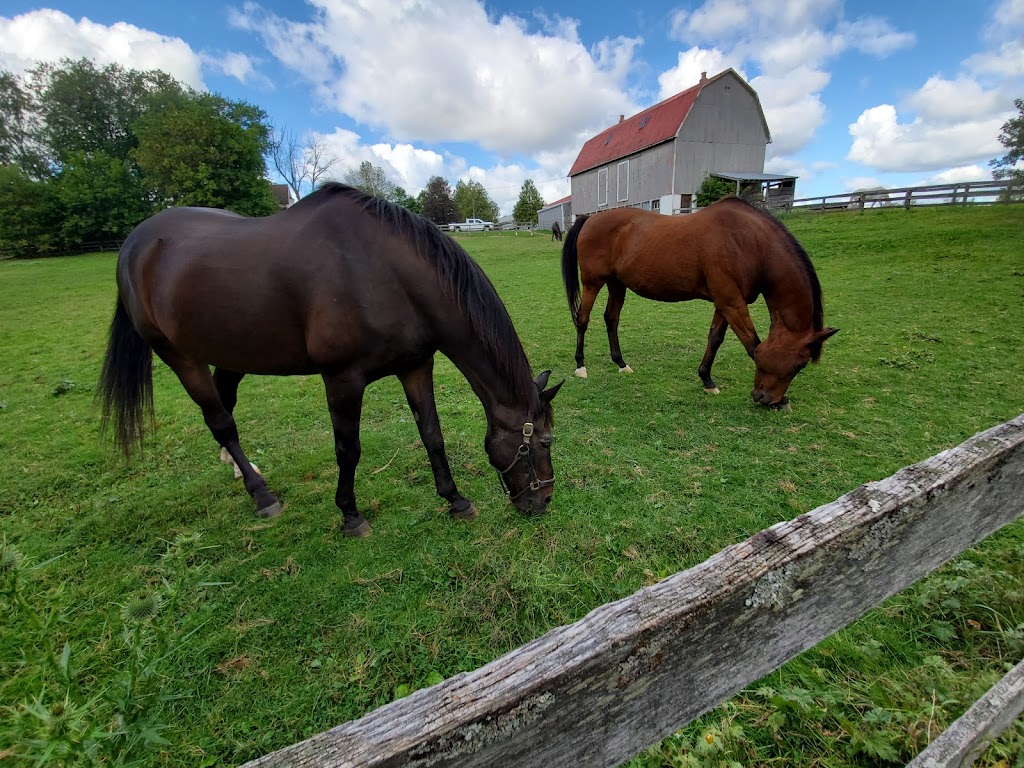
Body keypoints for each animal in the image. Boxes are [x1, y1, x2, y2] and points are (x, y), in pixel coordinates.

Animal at [99, 183, 565, 536]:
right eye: (544, 441)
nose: (543, 500)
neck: (386, 274)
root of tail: (135, 244)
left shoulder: (415, 367)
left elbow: (432, 434)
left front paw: (456, 500)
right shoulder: (342, 380)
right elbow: (348, 449)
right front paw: (350, 515)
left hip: (231, 351)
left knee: (224, 404)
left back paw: (237, 469)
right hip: (178, 356)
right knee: (220, 421)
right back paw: (262, 494)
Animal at [561, 199, 839, 409]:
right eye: (799, 364)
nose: (767, 399)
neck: (749, 242)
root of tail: (589, 219)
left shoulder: (725, 302)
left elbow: (715, 338)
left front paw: (706, 379)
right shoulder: (731, 302)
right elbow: (752, 345)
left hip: (617, 284)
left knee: (611, 318)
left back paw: (621, 363)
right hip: (593, 283)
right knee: (582, 319)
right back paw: (581, 366)